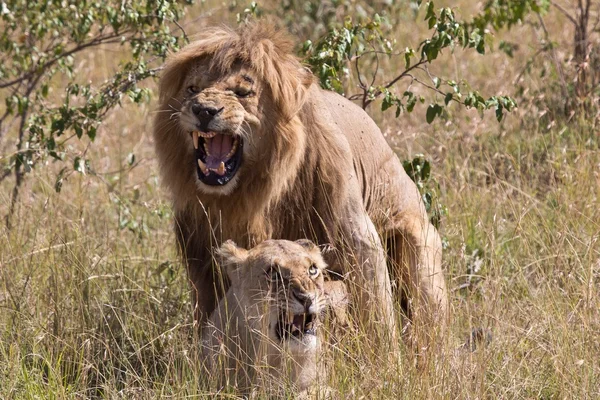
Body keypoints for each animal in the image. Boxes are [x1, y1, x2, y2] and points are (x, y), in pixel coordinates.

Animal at [152, 22, 448, 340]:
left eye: (242, 92)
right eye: (192, 89)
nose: (204, 110)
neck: (247, 194)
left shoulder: (356, 234)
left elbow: (376, 307)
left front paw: (384, 353)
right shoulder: (201, 253)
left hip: (417, 244)